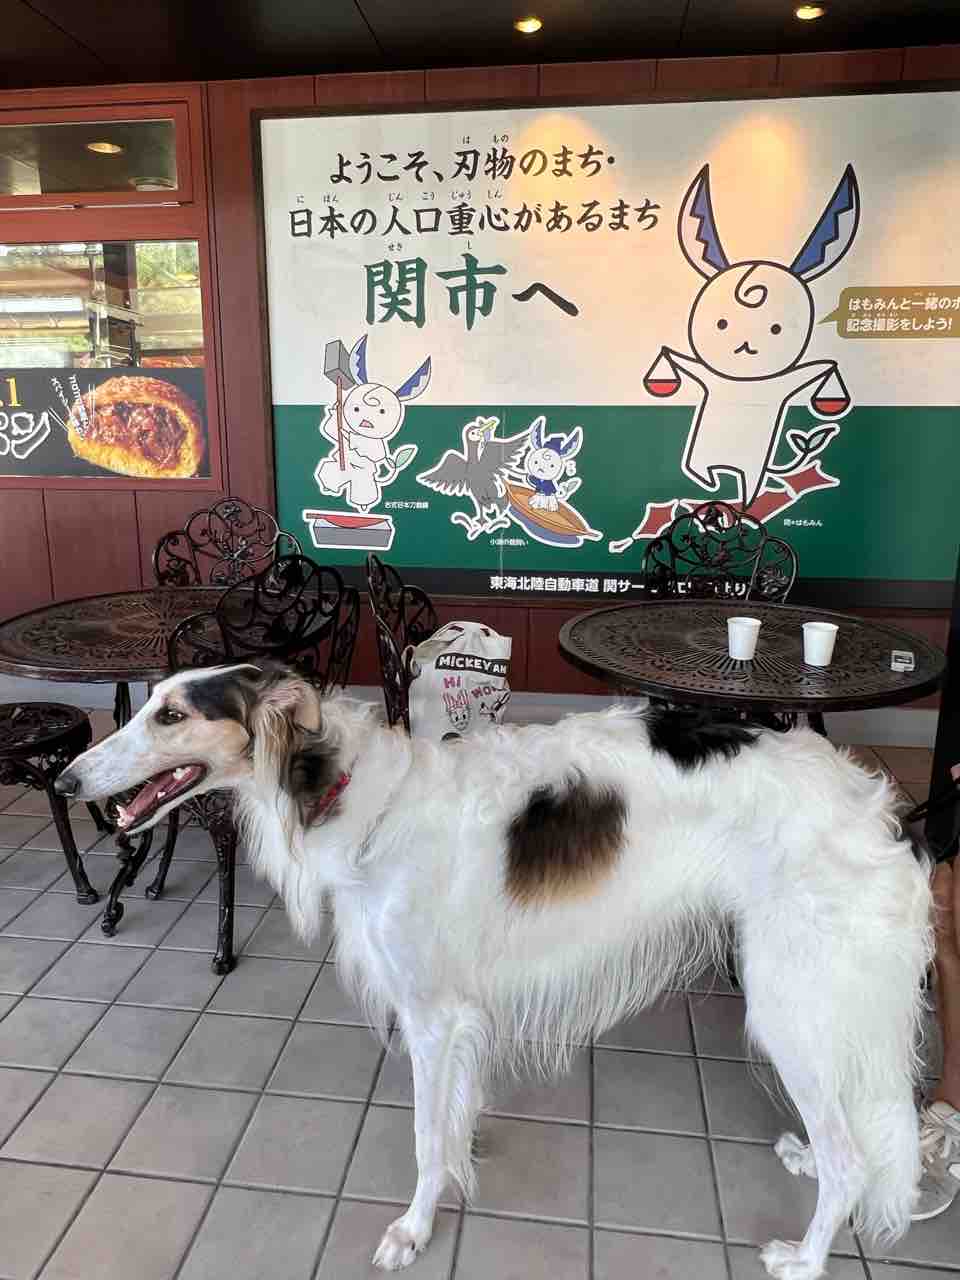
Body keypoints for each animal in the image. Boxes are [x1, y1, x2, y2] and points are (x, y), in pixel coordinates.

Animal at [57, 662, 934, 1279]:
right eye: (146, 703)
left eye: (172, 715)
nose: (67, 780)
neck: (354, 797)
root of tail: (877, 811)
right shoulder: (459, 1017)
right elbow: (454, 1115)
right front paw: (464, 1151)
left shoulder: (430, 1014)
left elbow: (423, 1137)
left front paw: (413, 1229)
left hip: (790, 1003)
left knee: (853, 1161)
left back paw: (806, 1257)